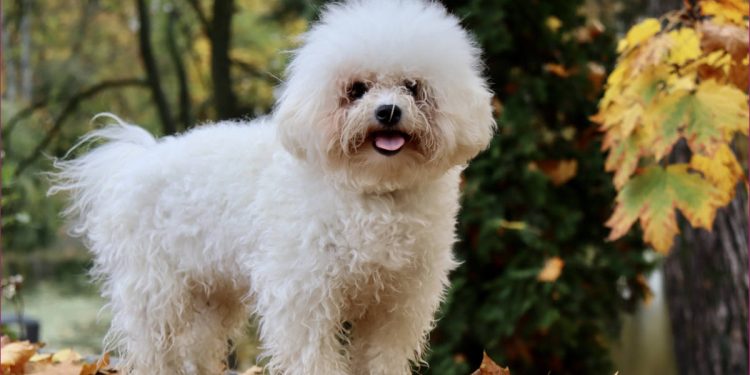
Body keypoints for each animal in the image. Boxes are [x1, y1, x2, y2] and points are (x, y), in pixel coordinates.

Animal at [50, 1, 496, 374]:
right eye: (356, 89)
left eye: (413, 87)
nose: (388, 112)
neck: (374, 194)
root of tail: (134, 163)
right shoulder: (305, 294)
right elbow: (313, 356)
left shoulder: (397, 305)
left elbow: (381, 357)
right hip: (156, 289)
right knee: (151, 347)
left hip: (213, 292)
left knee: (196, 347)